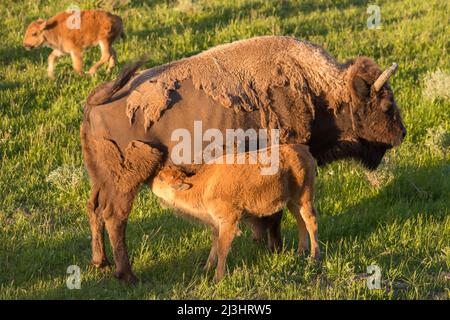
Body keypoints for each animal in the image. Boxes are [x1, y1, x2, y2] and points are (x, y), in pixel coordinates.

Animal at [151, 144, 320, 282]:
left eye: (161, 178)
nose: (151, 182)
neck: (204, 185)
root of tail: (304, 150)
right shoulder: (216, 223)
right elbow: (214, 243)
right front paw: (206, 268)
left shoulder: (228, 221)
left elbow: (222, 248)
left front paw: (217, 278)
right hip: (291, 201)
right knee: (301, 221)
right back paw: (300, 252)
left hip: (304, 198)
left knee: (311, 222)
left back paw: (314, 256)